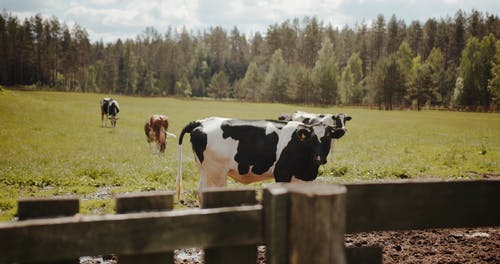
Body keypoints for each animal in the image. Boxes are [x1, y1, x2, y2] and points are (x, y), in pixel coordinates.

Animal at [177, 117, 336, 198]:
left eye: (328, 139)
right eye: (312, 139)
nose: (319, 158)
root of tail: (201, 121)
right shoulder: (282, 173)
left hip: (206, 170)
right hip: (216, 172)